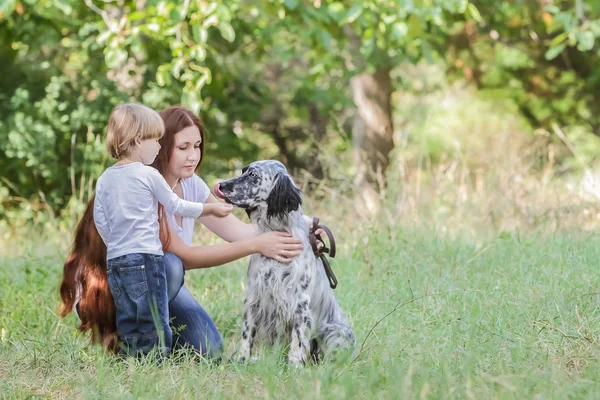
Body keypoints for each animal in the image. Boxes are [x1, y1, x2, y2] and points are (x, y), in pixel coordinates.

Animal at [216, 160, 356, 366]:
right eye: (243, 171)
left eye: (253, 175)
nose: (221, 185)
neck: (277, 230)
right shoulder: (254, 296)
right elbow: (247, 334)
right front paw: (242, 360)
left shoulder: (299, 301)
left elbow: (298, 337)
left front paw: (295, 365)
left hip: (334, 331)